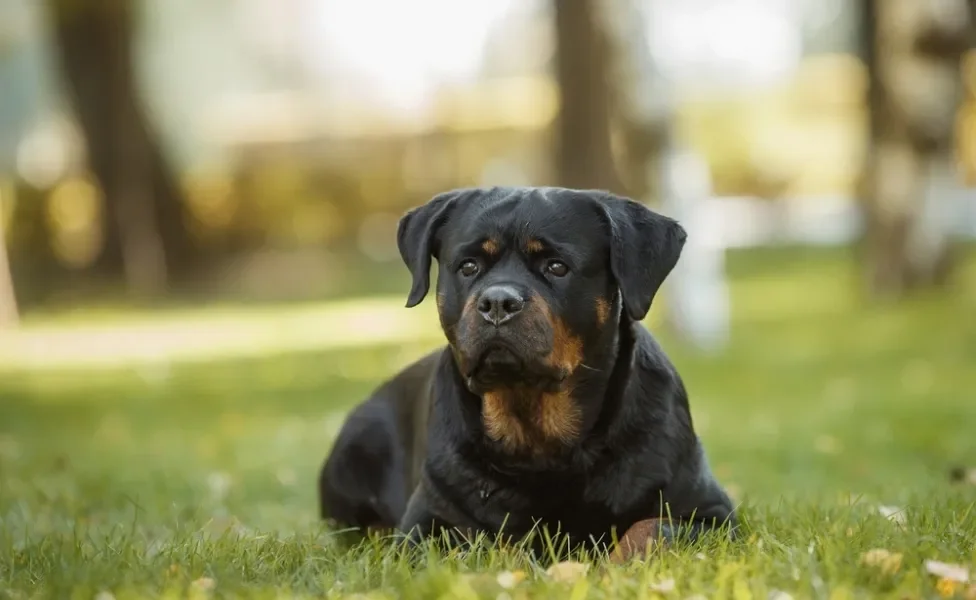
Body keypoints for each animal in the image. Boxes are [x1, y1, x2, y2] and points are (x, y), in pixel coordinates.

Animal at [316, 186, 736, 556]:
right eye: (469, 266)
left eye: (557, 266)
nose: (498, 301)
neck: (539, 440)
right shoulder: (424, 524)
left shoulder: (713, 515)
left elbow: (652, 529)